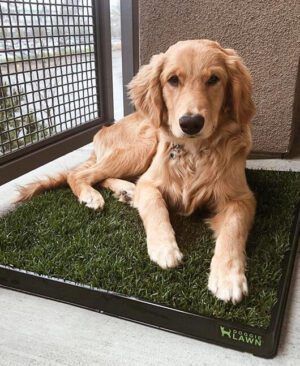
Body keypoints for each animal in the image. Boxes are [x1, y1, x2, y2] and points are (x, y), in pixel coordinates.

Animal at [17, 40, 255, 304]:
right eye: (173, 80)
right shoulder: (151, 182)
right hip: (144, 144)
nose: (190, 123)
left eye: (214, 79)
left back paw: (126, 191)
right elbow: (155, 206)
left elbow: (233, 229)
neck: (193, 154)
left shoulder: (241, 198)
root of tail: (105, 128)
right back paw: (92, 196)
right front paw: (164, 247)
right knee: (80, 175)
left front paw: (228, 277)